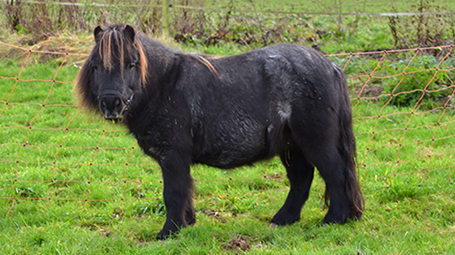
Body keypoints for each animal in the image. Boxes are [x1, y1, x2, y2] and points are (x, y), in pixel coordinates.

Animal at [76, 23, 366, 239]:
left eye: (132, 63)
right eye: (96, 65)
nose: (111, 103)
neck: (165, 86)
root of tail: (330, 65)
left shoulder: (173, 156)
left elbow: (173, 193)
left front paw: (169, 232)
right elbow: (185, 192)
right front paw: (186, 223)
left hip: (316, 142)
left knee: (335, 174)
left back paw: (334, 219)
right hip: (291, 146)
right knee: (301, 179)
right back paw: (283, 219)